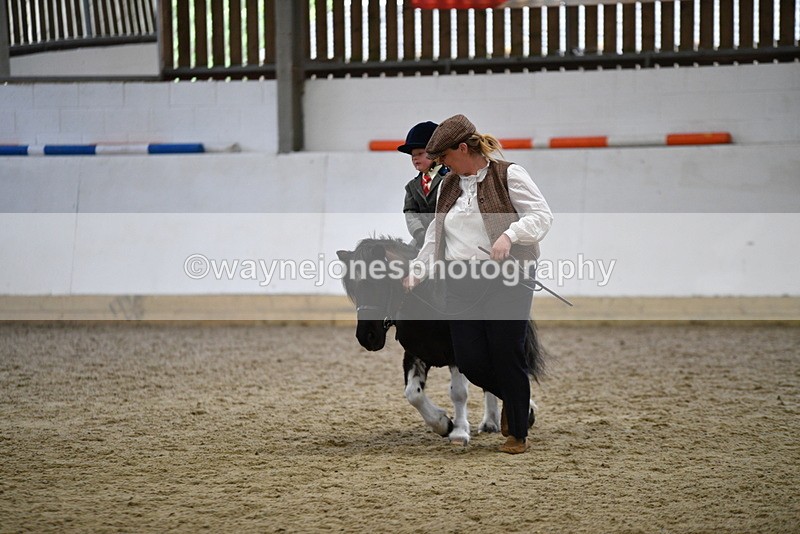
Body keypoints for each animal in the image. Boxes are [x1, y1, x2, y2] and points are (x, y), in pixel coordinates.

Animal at [336, 237, 545, 446]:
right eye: (353, 289)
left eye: (375, 283)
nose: (366, 337)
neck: (429, 301)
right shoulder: (415, 354)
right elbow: (413, 393)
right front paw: (443, 424)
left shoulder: (456, 355)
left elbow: (459, 393)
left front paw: (459, 431)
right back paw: (490, 422)